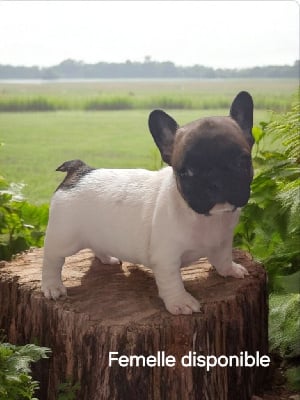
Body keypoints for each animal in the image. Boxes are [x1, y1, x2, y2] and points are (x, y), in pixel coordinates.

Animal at [41, 91, 253, 316]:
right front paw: (180, 302)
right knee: (52, 260)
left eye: (242, 162)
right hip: (64, 238)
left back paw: (107, 258)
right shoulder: (166, 257)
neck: (205, 219)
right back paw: (52, 286)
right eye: (187, 172)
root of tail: (79, 170)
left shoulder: (223, 241)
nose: (216, 181)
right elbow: (172, 282)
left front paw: (230, 270)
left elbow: (223, 258)